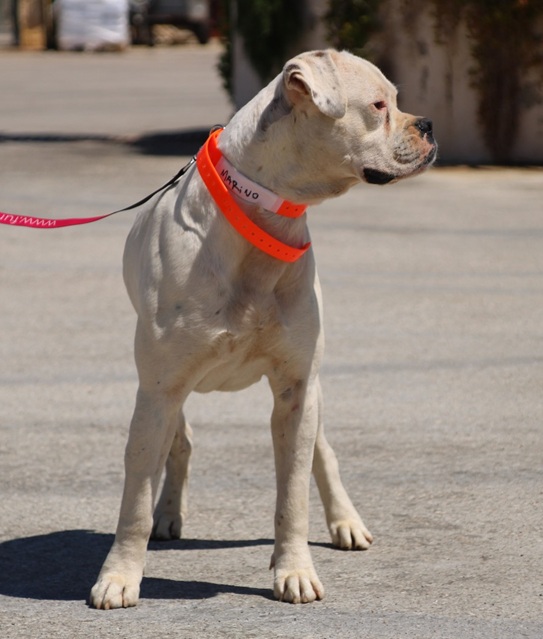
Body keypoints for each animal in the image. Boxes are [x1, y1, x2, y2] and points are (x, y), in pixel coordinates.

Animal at [90, 49, 437, 608]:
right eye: (379, 106)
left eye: (397, 102)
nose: (427, 125)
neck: (261, 217)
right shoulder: (158, 391)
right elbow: (135, 499)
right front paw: (119, 576)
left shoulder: (297, 390)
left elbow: (293, 493)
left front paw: (293, 570)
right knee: (179, 445)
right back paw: (170, 514)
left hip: (311, 389)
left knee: (323, 454)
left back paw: (345, 522)